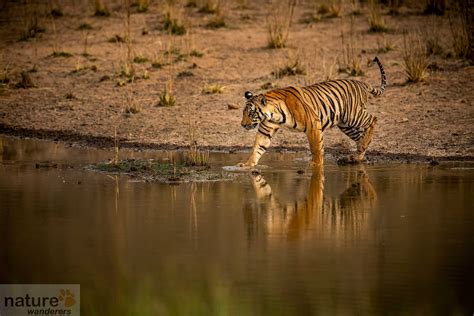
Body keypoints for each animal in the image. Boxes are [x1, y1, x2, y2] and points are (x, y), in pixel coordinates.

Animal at [239, 56, 386, 168]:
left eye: (251, 113)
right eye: (243, 113)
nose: (243, 125)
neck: (274, 115)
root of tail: (361, 83)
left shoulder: (313, 125)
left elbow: (316, 148)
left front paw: (316, 165)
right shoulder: (265, 130)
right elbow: (258, 147)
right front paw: (247, 165)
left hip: (353, 116)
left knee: (373, 119)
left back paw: (361, 148)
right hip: (346, 125)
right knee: (360, 137)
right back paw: (356, 156)